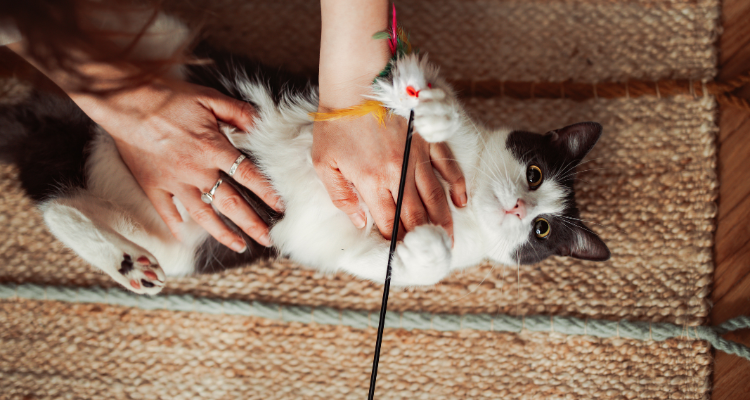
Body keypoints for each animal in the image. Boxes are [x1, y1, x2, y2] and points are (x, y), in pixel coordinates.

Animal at [0, 40, 612, 296]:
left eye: (543, 230)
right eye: (534, 173)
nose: (519, 207)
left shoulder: (338, 246)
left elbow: (398, 263)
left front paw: (425, 246)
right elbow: (414, 95)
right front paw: (431, 110)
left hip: (183, 239)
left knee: (51, 197)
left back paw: (127, 263)